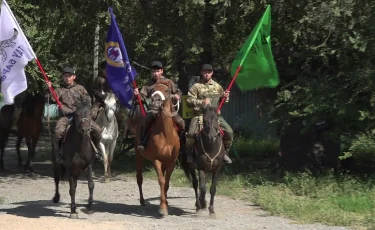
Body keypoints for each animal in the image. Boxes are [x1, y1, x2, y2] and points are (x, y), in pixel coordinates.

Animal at [134, 80, 181, 216]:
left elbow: (167, 183)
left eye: (166, 90)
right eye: (152, 90)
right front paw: (163, 208)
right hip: (138, 156)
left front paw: (165, 203)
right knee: (139, 178)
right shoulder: (156, 160)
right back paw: (142, 201)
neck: (166, 134)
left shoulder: (171, 162)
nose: (155, 101)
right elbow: (161, 180)